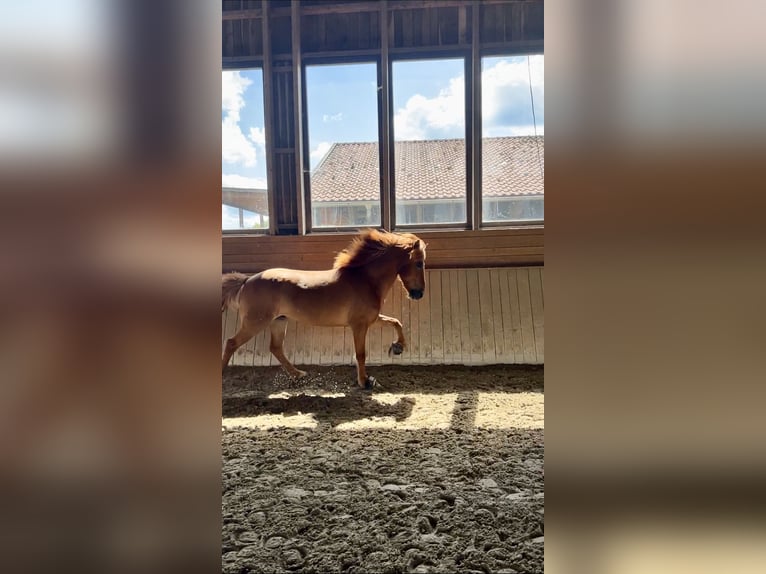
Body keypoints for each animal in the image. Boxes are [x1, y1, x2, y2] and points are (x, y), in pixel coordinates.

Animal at [221, 229, 426, 390]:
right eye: (419, 263)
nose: (419, 293)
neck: (365, 280)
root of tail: (246, 281)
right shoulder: (359, 325)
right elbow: (361, 354)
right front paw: (365, 382)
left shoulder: (371, 319)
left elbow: (396, 322)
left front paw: (398, 347)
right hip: (256, 322)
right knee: (231, 343)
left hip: (278, 321)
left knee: (276, 348)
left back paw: (299, 374)